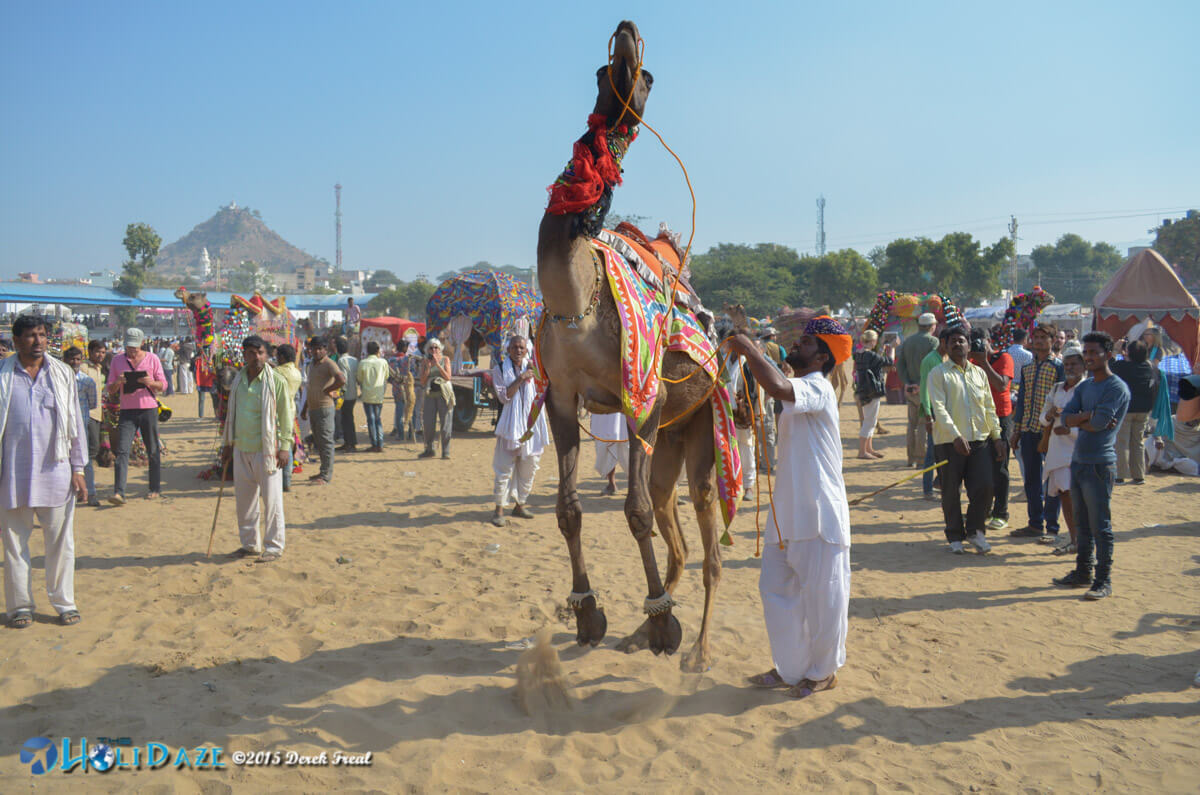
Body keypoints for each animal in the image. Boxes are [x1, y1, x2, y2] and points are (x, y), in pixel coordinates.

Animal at [537, 20, 739, 672]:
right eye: (603, 71)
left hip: (700, 423)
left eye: (647, 77)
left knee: (703, 537)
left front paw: (663, 628)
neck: (577, 300)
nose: (626, 31)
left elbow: (633, 513)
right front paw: (589, 616)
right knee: (672, 526)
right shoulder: (561, 397)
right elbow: (569, 510)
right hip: (671, 437)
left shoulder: (642, 400)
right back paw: (638, 632)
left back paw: (693, 647)